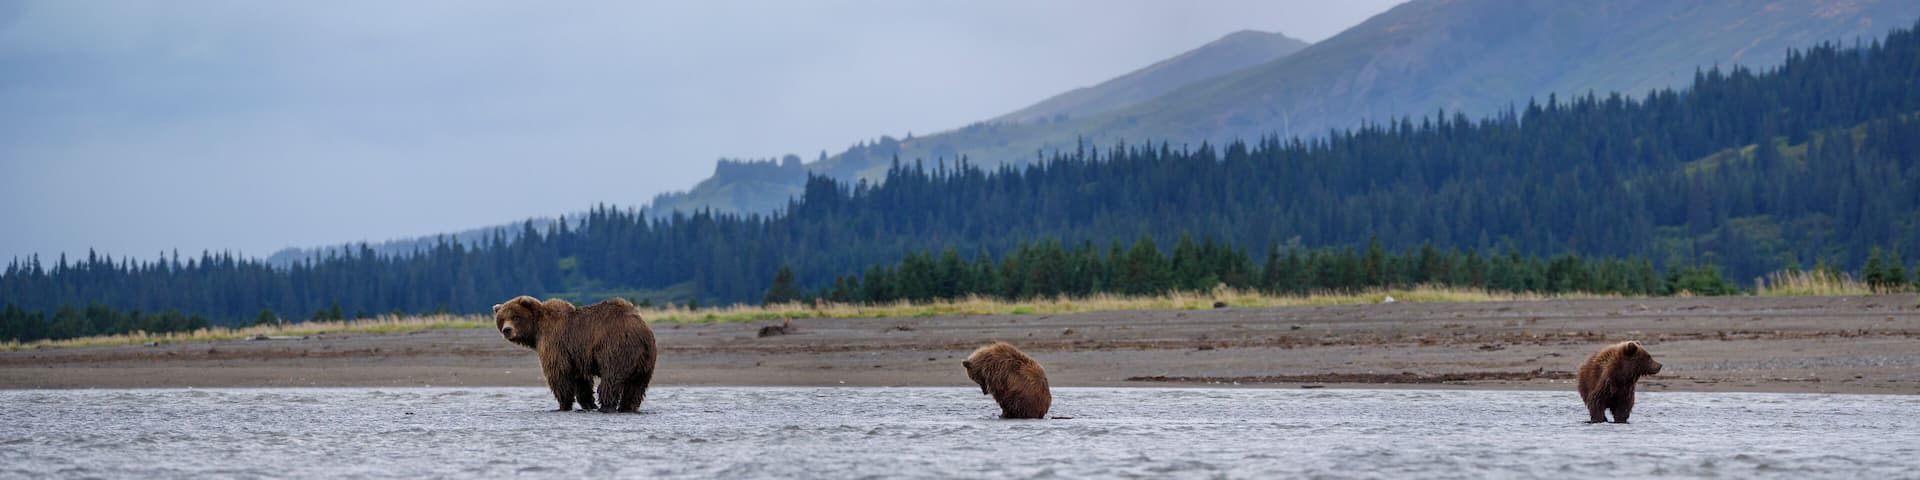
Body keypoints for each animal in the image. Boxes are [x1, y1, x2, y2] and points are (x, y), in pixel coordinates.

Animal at [494, 296, 658, 413]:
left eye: (515, 316)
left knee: (611, 379)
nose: (507, 330)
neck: (537, 330)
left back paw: (606, 406)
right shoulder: (576, 354)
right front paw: (588, 403)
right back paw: (627, 407)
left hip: (615, 348)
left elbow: (559, 374)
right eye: (502, 319)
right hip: (645, 360)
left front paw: (563, 405)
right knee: (636, 386)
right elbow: (581, 379)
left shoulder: (555, 343)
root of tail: (642, 331)